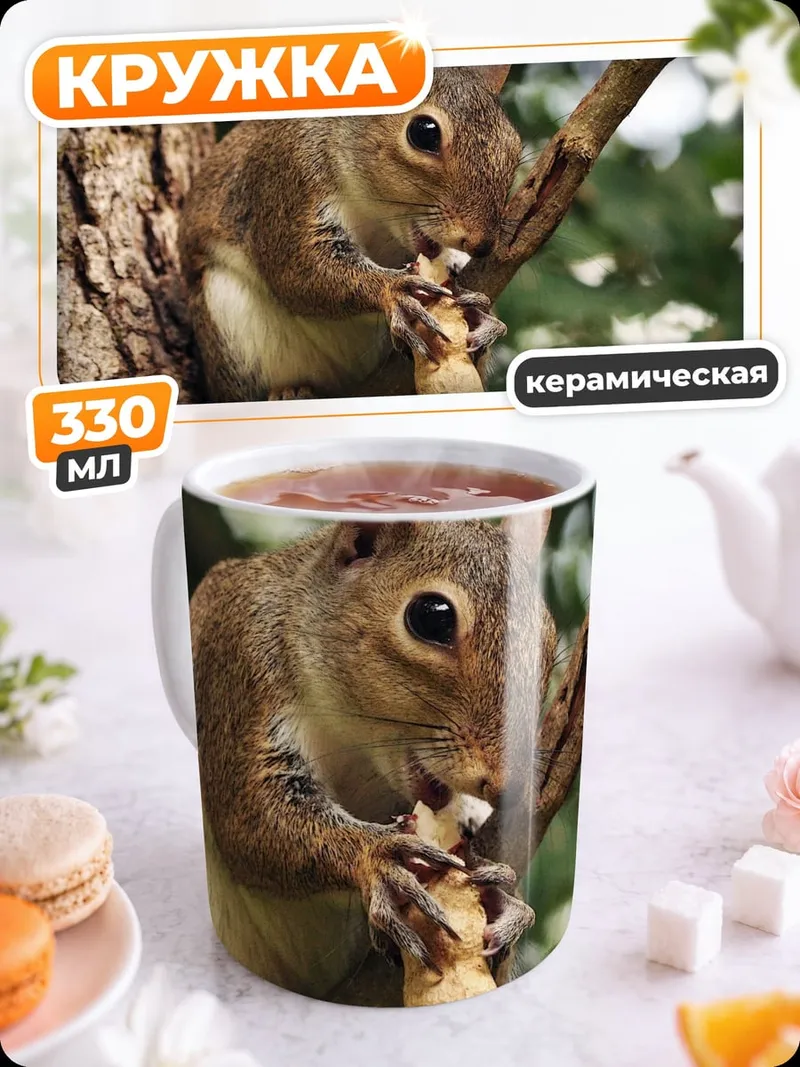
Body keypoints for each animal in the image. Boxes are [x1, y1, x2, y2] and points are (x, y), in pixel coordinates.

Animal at [178, 65, 521, 402]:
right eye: (424, 132)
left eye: (515, 146)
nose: (482, 244)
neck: (376, 216)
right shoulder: (285, 180)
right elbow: (296, 269)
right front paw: (394, 290)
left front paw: (481, 316)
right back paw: (290, 392)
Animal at [190, 512, 560, 1000]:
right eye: (431, 617)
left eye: (549, 635)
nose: (507, 786)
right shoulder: (240, 669)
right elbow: (248, 819)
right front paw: (379, 857)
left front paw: (505, 904)